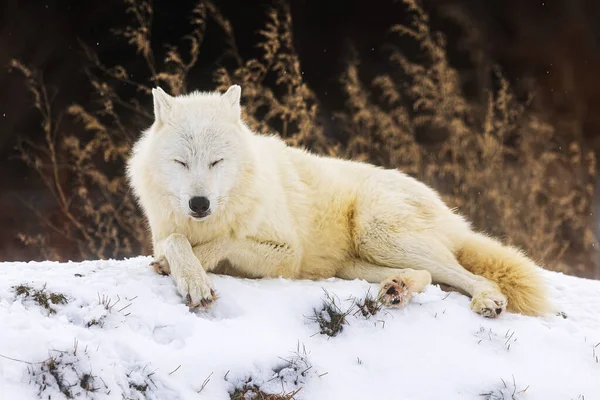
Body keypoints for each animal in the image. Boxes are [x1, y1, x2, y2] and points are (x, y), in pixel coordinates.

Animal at [125, 85, 552, 318]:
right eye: (181, 162)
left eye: (216, 162)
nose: (199, 204)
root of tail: (453, 216)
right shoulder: (166, 231)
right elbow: (176, 241)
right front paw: (187, 273)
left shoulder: (286, 253)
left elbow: (222, 241)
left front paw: (190, 273)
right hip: (356, 262)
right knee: (429, 277)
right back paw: (397, 289)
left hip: (376, 232)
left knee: (467, 274)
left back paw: (486, 301)